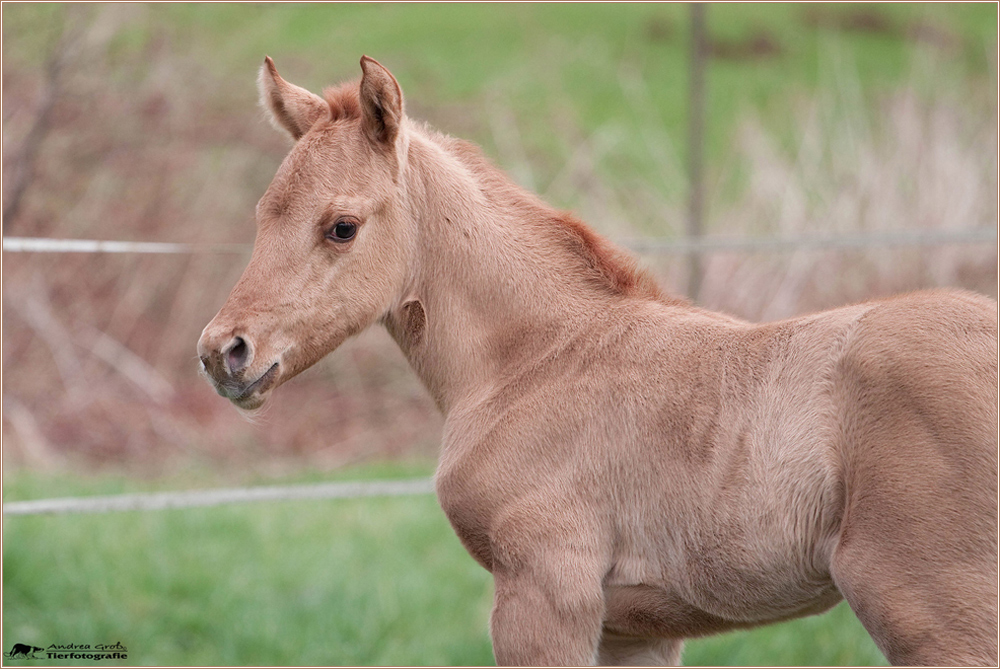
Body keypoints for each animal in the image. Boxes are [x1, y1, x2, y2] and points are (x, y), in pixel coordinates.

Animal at [199, 57, 996, 664]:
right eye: (264, 213)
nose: (223, 352)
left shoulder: (545, 595)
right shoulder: (636, 626)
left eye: (342, 227)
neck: (538, 361)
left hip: (936, 613)